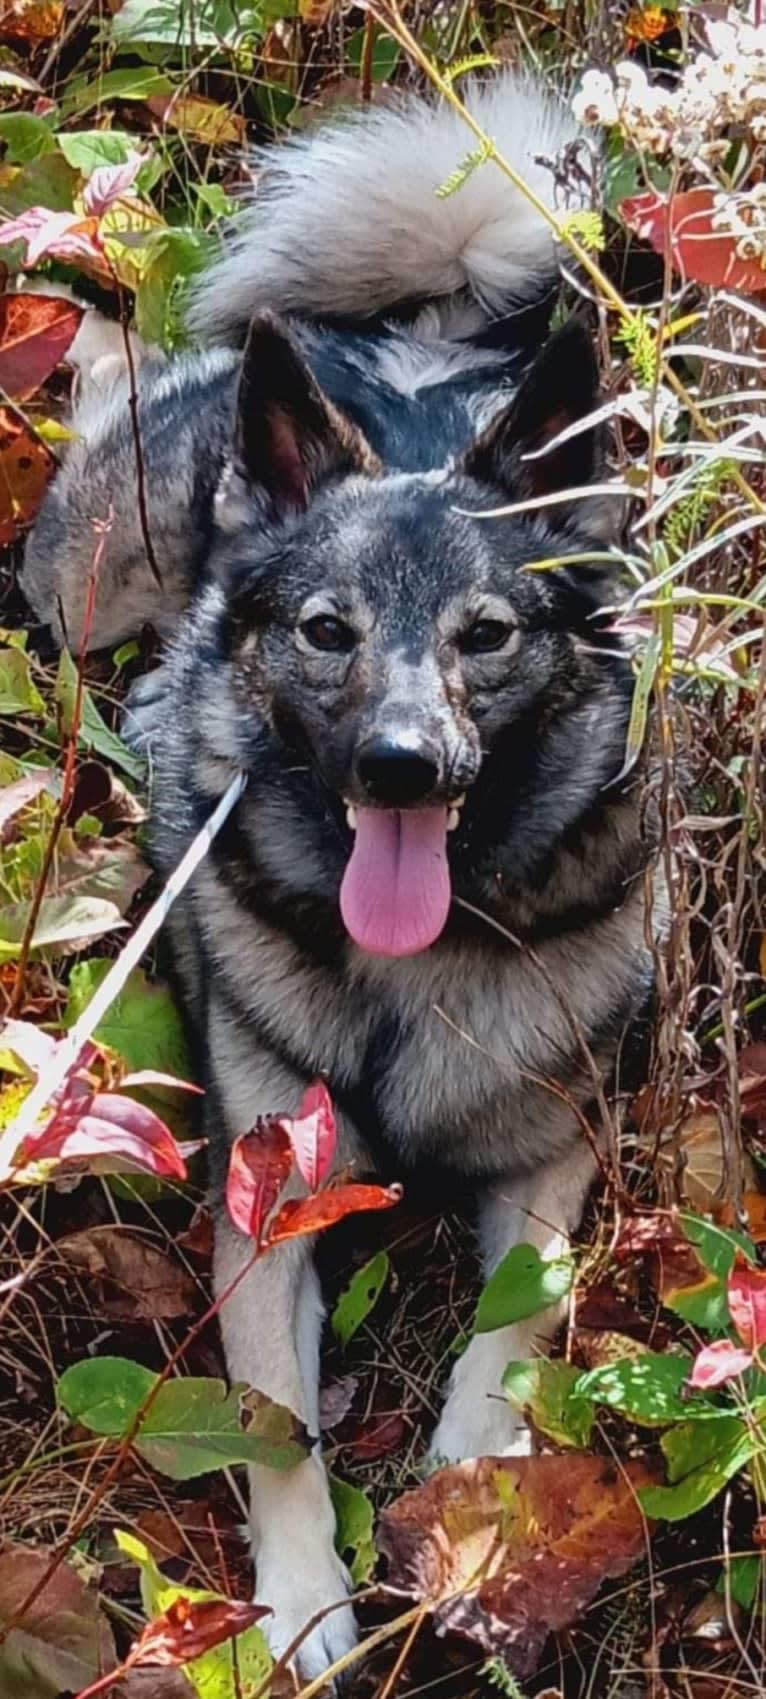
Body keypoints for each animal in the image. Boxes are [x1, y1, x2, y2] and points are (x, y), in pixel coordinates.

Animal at [21, 76, 662, 1685]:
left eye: (487, 634)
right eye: (325, 630)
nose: (400, 767)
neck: (410, 974)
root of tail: (415, 333)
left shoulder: (548, 1171)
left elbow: (504, 1345)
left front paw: (473, 1521)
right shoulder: (266, 1211)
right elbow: (275, 1427)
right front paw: (304, 1599)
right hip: (78, 591)